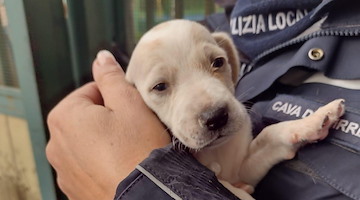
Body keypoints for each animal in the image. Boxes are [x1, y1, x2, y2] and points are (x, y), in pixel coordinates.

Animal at [125, 19, 344, 199]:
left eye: (218, 62)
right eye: (160, 87)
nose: (216, 117)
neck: (217, 152)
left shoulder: (244, 169)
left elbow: (270, 134)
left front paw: (316, 120)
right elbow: (234, 190)